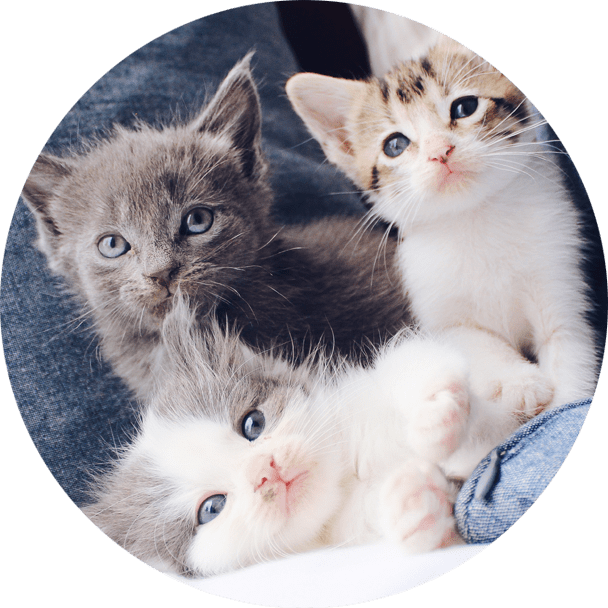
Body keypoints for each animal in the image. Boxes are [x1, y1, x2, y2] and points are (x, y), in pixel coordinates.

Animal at [83, 298, 528, 576]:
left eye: (253, 424)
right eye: (211, 508)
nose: (264, 469)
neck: (349, 475)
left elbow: (414, 365)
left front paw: (437, 413)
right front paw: (415, 503)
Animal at [288, 38, 600, 408]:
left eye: (465, 107)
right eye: (395, 145)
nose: (440, 151)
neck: (477, 218)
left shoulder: (561, 281)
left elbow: (569, 354)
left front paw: (563, 396)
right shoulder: (433, 307)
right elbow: (469, 338)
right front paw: (519, 380)